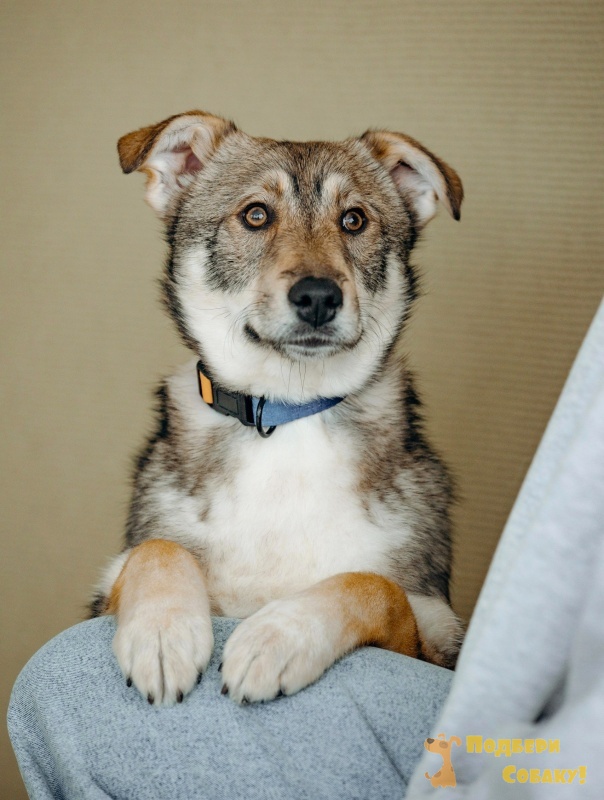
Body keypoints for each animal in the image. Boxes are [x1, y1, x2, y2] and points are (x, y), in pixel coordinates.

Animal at [89, 110, 465, 706]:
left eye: (354, 220)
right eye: (256, 215)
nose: (318, 297)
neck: (287, 416)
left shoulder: (436, 639)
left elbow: (375, 585)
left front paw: (279, 636)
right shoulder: (101, 599)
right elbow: (158, 548)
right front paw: (162, 632)